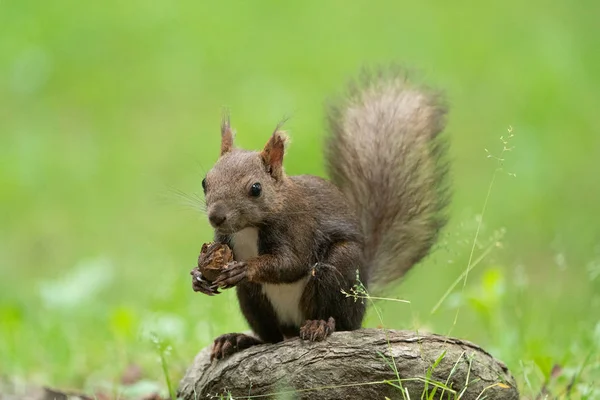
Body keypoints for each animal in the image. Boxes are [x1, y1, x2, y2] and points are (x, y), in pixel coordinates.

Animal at [192, 65, 450, 360]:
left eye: (255, 188)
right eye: (205, 182)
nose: (216, 217)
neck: (248, 229)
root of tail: (364, 292)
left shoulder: (298, 228)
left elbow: (291, 264)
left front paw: (245, 267)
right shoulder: (224, 238)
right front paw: (198, 276)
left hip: (340, 269)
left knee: (340, 320)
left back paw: (320, 325)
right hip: (253, 298)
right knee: (270, 337)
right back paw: (238, 340)